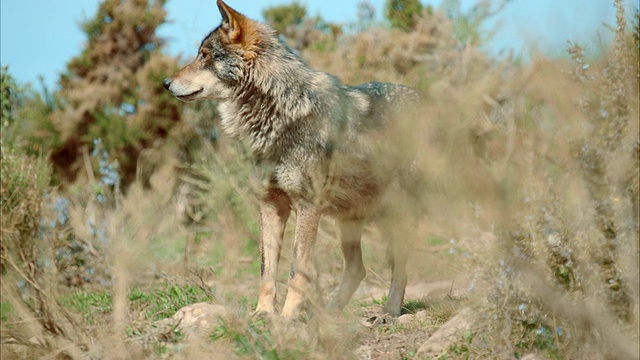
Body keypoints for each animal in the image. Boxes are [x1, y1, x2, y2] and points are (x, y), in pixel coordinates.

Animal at [165, 0, 422, 318]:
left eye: (205, 56)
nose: (165, 83)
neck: (278, 114)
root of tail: (424, 102)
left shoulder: (307, 206)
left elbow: (295, 271)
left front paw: (287, 318)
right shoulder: (270, 205)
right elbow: (266, 271)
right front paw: (263, 314)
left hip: (395, 216)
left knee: (400, 269)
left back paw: (388, 313)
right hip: (349, 221)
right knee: (357, 269)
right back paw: (327, 316)